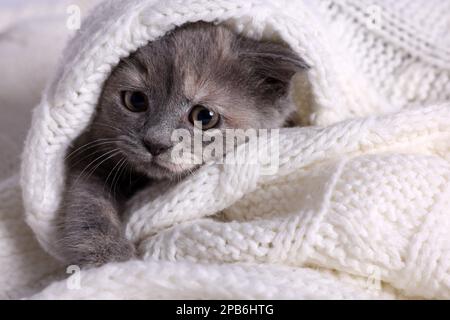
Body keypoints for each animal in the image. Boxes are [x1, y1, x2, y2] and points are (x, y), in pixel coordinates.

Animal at [58, 21, 308, 268]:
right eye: (135, 100)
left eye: (204, 117)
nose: (155, 143)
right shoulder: (90, 150)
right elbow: (89, 199)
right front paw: (107, 254)